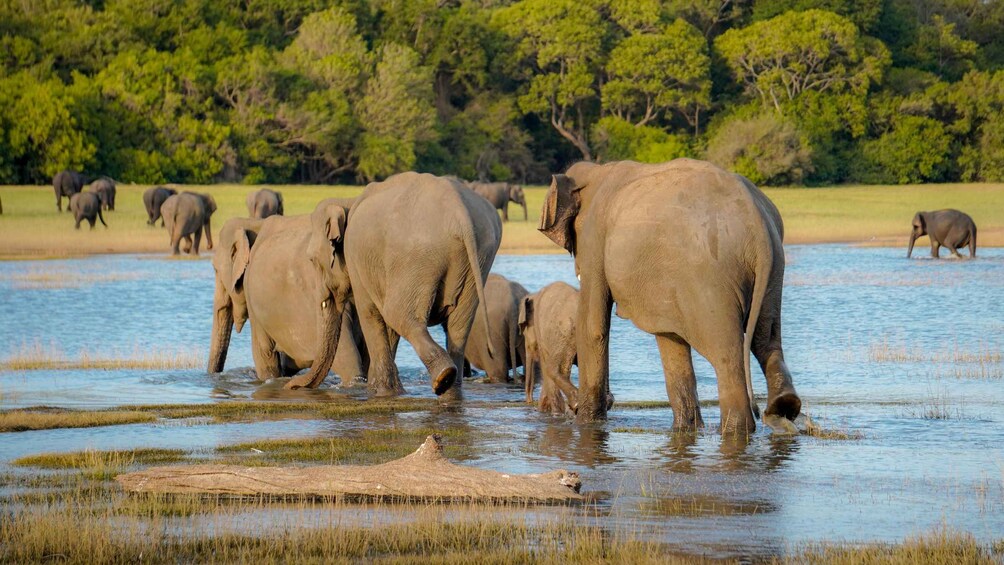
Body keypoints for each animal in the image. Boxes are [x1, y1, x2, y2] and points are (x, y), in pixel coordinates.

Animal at [345, 172, 502, 398]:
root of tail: (459, 211)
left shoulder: (356, 263)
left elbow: (370, 312)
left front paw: (382, 392)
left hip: (415, 255)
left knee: (398, 313)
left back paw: (443, 378)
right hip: (480, 258)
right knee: (459, 325)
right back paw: (450, 387)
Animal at [539, 158, 801, 433]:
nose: (611, 400)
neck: (595, 171)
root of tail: (756, 219)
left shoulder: (594, 238)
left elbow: (593, 326)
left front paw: (586, 424)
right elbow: (669, 336)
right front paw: (686, 428)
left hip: (709, 279)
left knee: (727, 355)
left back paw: (736, 429)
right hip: (773, 271)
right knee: (766, 339)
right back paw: (783, 407)